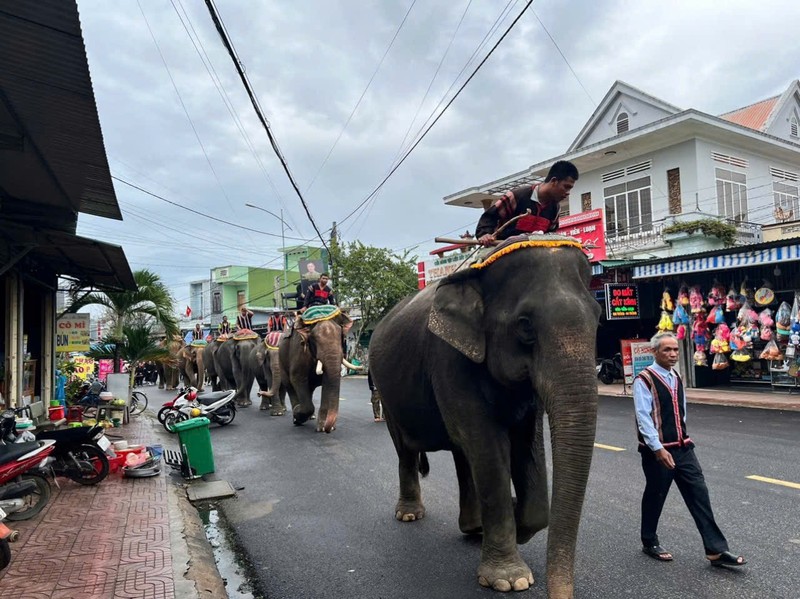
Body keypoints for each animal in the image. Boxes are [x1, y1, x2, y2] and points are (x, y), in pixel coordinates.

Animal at [368, 238, 600, 599]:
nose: (562, 595)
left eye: (599, 317)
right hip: (386, 389)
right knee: (407, 449)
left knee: (463, 454)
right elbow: (488, 444)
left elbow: (526, 443)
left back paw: (473, 528)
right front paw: (509, 580)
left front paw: (519, 521)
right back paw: (409, 516)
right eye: (525, 325)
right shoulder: (448, 357)